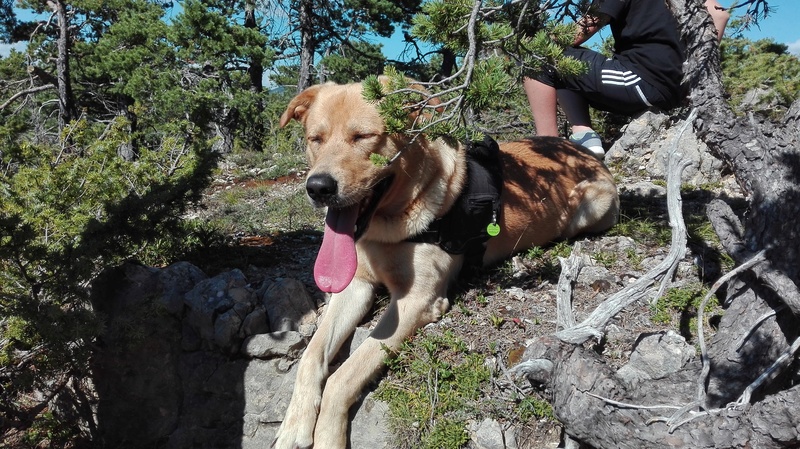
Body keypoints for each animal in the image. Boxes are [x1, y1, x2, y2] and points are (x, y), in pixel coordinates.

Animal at [276, 80, 620, 448]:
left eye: (363, 136)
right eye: (315, 138)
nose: (318, 187)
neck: (390, 224)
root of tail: (581, 149)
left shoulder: (416, 301)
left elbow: (344, 377)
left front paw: (327, 436)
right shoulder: (354, 285)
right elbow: (311, 356)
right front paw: (294, 425)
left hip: (591, 205)